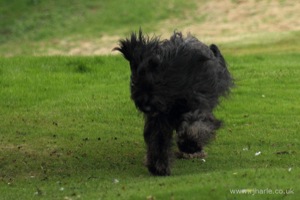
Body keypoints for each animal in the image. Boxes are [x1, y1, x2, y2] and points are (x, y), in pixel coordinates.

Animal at [113, 28, 233, 176]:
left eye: (157, 82)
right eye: (135, 81)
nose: (145, 106)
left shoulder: (198, 103)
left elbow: (196, 124)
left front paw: (189, 144)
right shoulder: (160, 118)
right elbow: (158, 138)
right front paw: (159, 166)